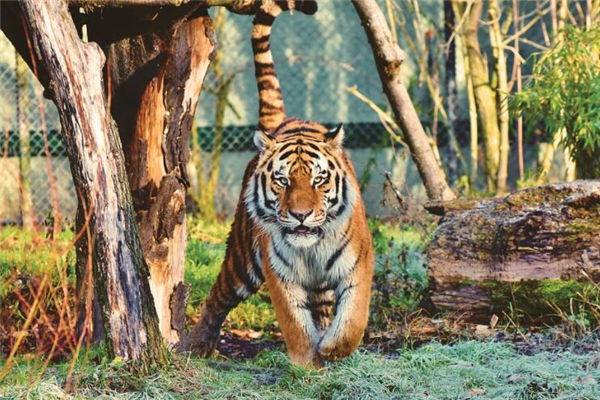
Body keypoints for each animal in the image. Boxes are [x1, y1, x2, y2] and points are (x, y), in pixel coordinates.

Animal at [186, 0, 376, 366]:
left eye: (319, 180)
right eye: (282, 180)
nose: (301, 215)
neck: (312, 249)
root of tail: (284, 121)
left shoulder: (358, 263)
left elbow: (353, 319)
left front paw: (332, 348)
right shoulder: (280, 274)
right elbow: (295, 324)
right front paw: (306, 362)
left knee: (323, 309)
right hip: (241, 260)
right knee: (217, 298)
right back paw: (195, 346)